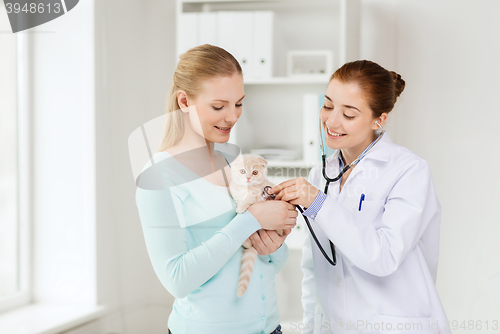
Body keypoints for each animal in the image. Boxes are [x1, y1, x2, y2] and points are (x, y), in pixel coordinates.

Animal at [229, 154, 282, 298]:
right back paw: (247, 242)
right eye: (242, 171)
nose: (248, 178)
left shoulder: (258, 196)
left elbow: (248, 199)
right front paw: (239, 208)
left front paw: (241, 207)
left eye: (255, 172)